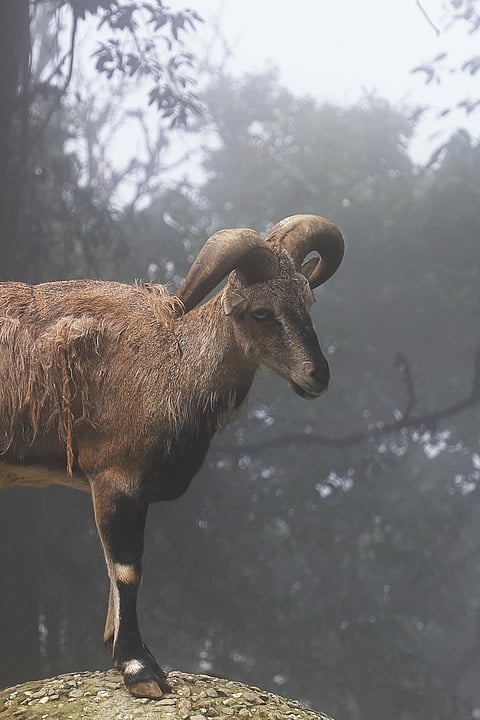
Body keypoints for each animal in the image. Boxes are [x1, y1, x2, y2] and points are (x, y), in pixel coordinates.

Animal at [0, 214, 344, 699]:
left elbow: (111, 567)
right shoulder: (116, 478)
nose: (318, 376)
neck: (174, 364)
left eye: (307, 301)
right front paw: (138, 668)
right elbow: (126, 570)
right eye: (261, 312)